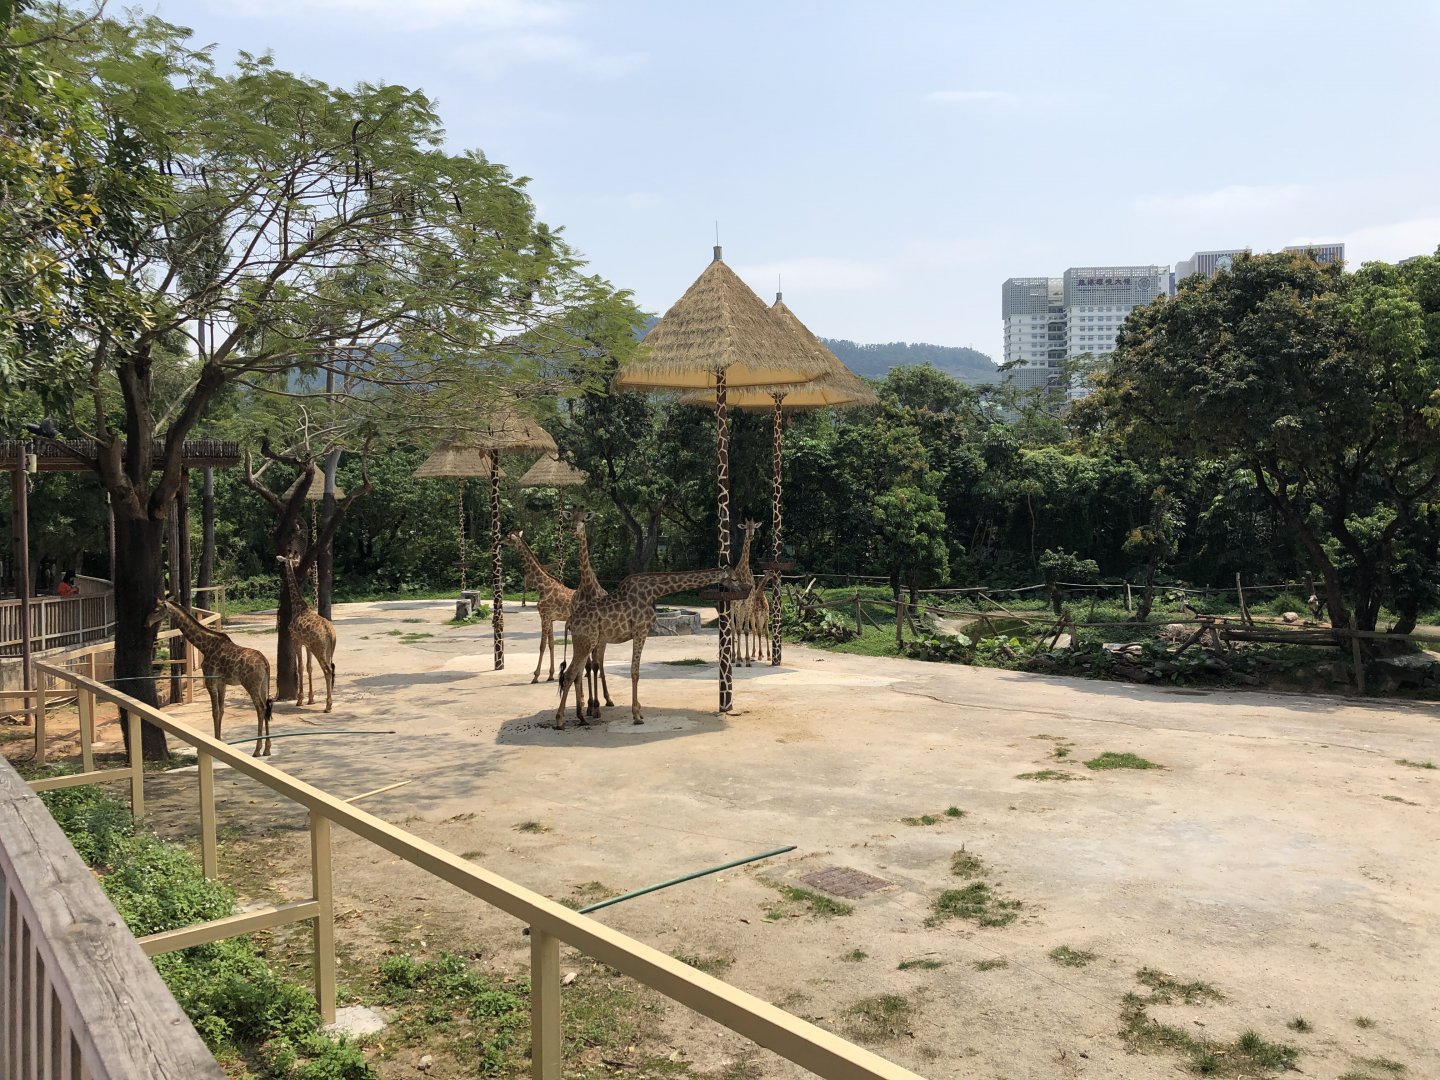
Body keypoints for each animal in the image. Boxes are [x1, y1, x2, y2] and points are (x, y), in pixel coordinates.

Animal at [146, 598, 273, 756]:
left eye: (156, 610)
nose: (146, 623)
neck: (204, 646)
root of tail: (265, 662)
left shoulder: (210, 680)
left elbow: (215, 711)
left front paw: (217, 741)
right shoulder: (221, 682)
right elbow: (221, 709)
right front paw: (220, 741)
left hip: (251, 684)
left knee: (260, 708)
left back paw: (257, 750)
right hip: (263, 684)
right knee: (266, 707)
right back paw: (267, 749)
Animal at [276, 555, 337, 712]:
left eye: (284, 561)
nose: (282, 571)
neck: (298, 606)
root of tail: (330, 631)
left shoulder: (296, 640)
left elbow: (300, 667)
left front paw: (300, 700)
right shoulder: (307, 645)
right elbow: (309, 667)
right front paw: (311, 699)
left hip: (318, 649)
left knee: (327, 670)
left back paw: (328, 706)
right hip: (329, 649)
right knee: (331, 668)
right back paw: (328, 703)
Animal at [556, 564, 746, 730]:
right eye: (734, 578)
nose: (743, 590)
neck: (653, 592)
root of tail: (570, 621)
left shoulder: (639, 632)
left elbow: (634, 671)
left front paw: (638, 712)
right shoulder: (641, 631)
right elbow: (635, 672)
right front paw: (637, 716)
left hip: (585, 643)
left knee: (577, 674)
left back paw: (581, 718)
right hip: (586, 642)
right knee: (570, 674)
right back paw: (560, 721)